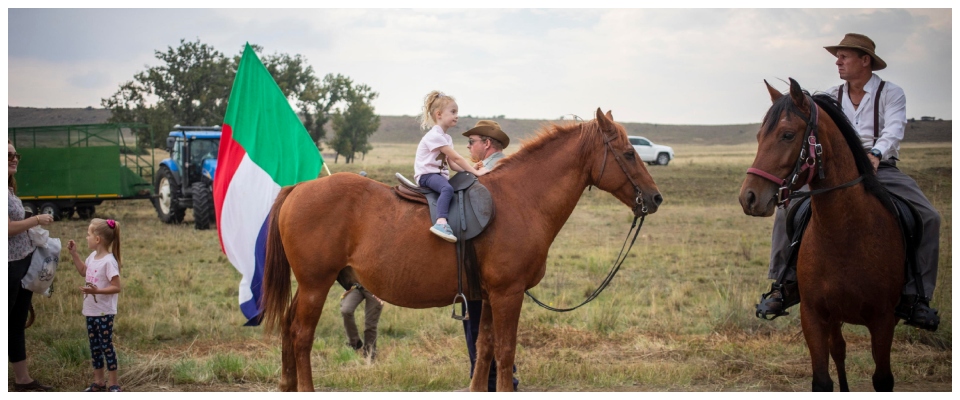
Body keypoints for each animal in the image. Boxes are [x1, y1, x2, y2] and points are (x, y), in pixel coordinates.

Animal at [260, 108, 660, 390]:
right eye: (628, 153)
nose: (655, 198)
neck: (521, 199)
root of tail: (299, 188)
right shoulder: (508, 294)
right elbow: (505, 351)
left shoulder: (488, 296)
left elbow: (484, 350)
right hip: (316, 285)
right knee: (301, 335)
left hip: (309, 286)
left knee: (288, 328)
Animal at [740, 78, 904, 390]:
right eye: (758, 136)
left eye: (787, 135)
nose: (749, 198)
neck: (844, 235)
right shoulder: (814, 315)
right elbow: (822, 379)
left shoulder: (883, 320)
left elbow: (883, 378)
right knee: (838, 350)